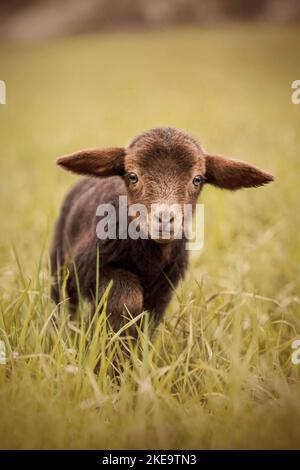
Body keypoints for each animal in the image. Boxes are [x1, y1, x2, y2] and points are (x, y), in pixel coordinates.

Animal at [51, 126, 274, 334]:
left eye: (197, 179)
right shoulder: (87, 267)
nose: (165, 219)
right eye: (132, 176)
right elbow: (127, 300)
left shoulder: (164, 289)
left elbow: (147, 321)